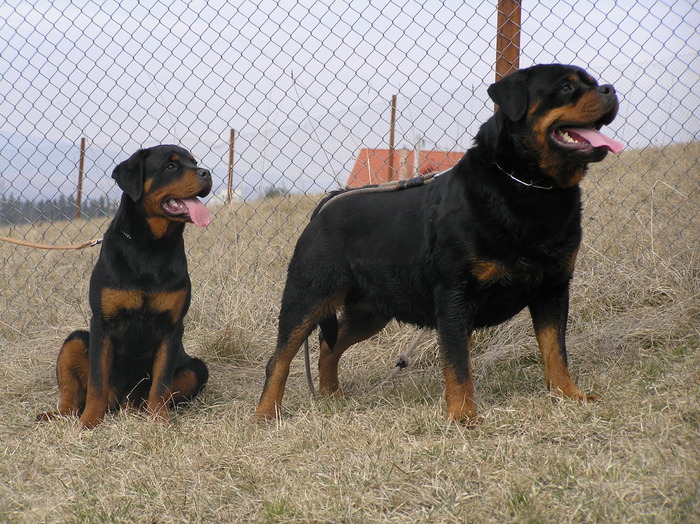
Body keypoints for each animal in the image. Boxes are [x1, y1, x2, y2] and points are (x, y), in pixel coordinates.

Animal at [37, 145, 212, 428]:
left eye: (194, 162)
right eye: (171, 166)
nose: (206, 173)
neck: (150, 248)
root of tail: (121, 402)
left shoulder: (172, 327)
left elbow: (161, 383)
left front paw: (159, 422)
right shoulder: (103, 322)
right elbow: (97, 381)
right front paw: (90, 422)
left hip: (197, 368)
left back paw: (141, 411)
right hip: (75, 340)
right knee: (72, 397)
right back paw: (60, 415)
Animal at [256, 63, 624, 424]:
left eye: (593, 82)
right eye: (566, 87)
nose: (609, 89)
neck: (528, 186)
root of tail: (325, 205)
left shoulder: (553, 289)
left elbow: (555, 351)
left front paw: (569, 395)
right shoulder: (454, 297)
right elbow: (458, 364)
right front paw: (462, 415)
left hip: (371, 309)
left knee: (328, 346)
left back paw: (332, 396)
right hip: (308, 296)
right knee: (281, 357)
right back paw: (266, 413)